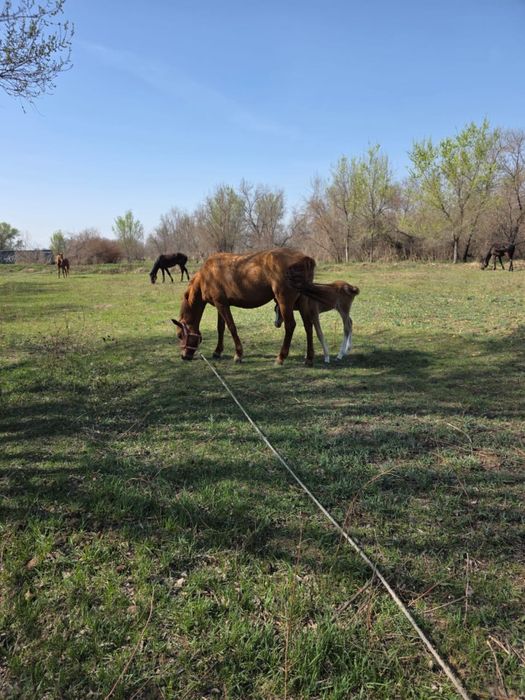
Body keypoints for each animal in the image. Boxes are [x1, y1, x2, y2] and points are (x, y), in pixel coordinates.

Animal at [172, 248, 317, 365]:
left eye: (180, 335)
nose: (184, 356)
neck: (206, 276)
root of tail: (303, 258)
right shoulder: (220, 305)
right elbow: (220, 328)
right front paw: (217, 351)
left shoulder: (222, 304)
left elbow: (231, 327)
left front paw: (238, 355)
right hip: (302, 300)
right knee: (308, 325)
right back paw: (309, 358)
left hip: (284, 301)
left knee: (290, 325)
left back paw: (281, 357)